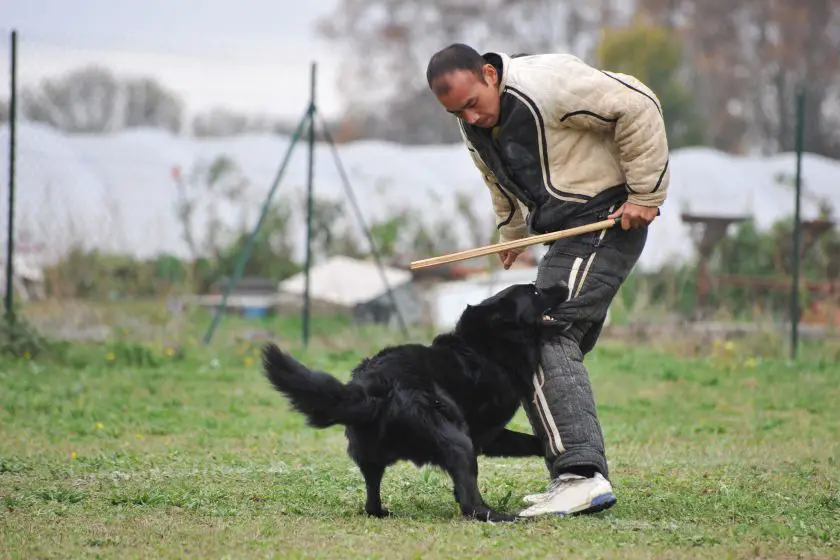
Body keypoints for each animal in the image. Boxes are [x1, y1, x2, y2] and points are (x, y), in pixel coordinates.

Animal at [260, 282, 568, 524]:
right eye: (536, 291)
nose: (564, 284)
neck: (488, 347)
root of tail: (375, 382)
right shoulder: (486, 435)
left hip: (370, 454)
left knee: (371, 500)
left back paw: (381, 511)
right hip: (457, 440)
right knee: (472, 506)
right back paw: (502, 516)